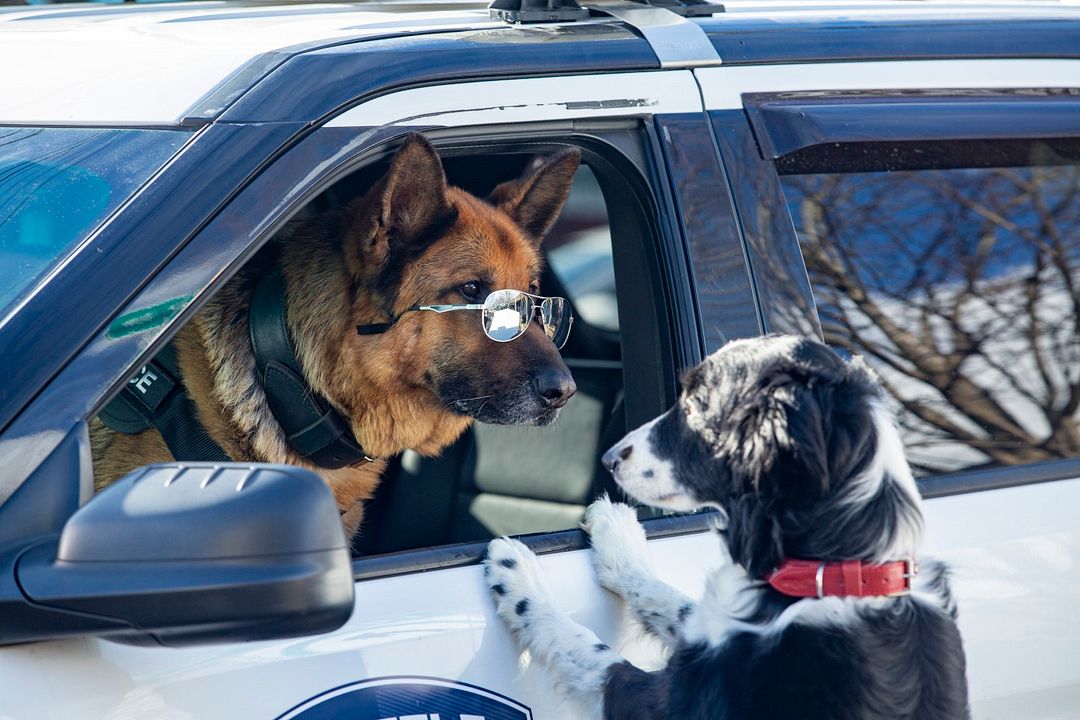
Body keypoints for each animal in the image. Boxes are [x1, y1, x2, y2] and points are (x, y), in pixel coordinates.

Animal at [483, 334, 972, 716]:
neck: (835, 570)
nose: (607, 458)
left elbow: (587, 650)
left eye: (696, 405)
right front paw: (619, 540)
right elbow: (673, 602)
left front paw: (519, 577)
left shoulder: (666, 701)